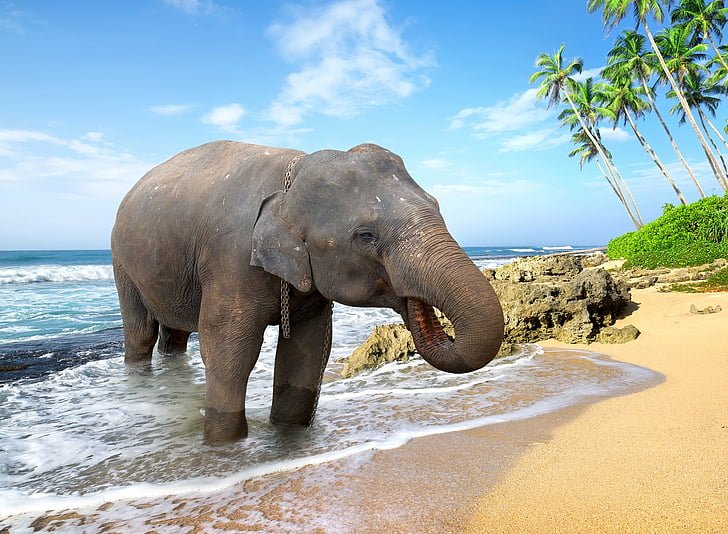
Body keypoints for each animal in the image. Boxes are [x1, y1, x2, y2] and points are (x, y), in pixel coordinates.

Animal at [111, 141, 504, 444]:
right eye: (366, 236)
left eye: (437, 206)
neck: (291, 179)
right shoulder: (231, 259)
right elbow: (228, 351)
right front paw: (224, 446)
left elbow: (307, 351)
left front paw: (287, 435)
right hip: (121, 261)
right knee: (141, 331)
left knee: (175, 334)